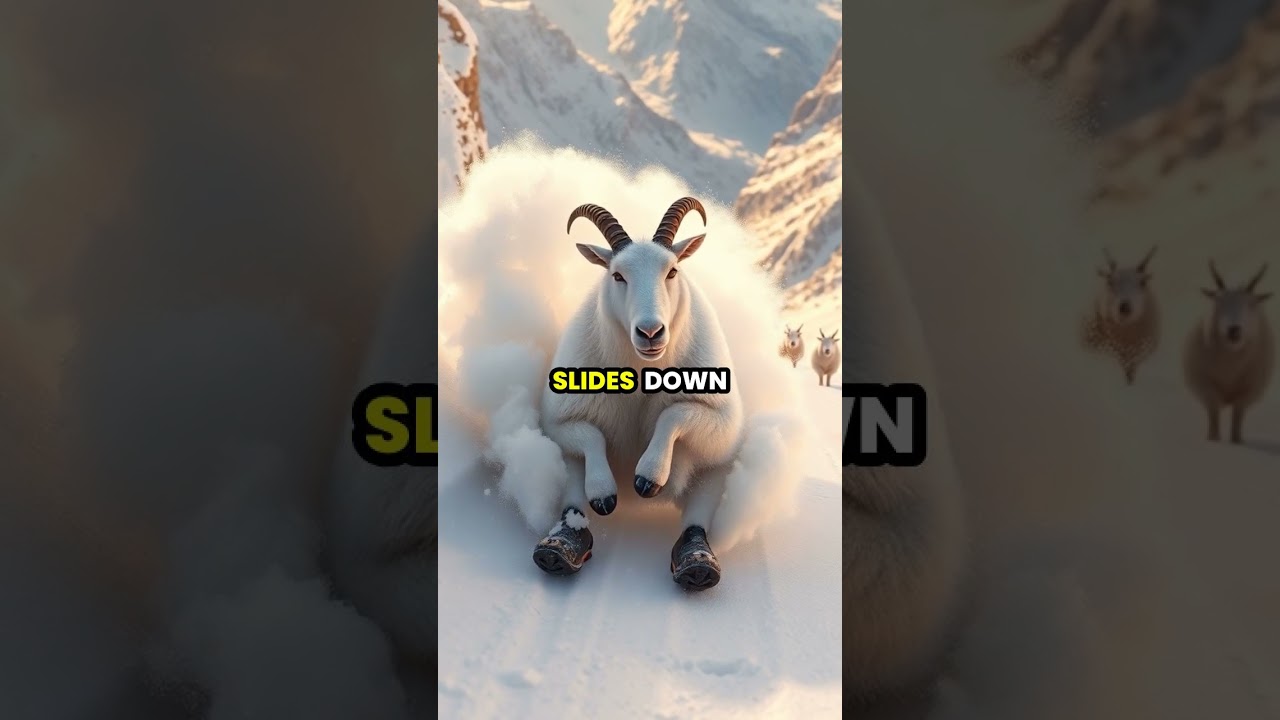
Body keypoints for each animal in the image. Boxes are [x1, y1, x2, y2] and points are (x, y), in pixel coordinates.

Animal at [535, 197, 745, 591]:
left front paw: (650, 476)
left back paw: (697, 564)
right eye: (618, 275)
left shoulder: (721, 420)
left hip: (719, 463)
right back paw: (559, 549)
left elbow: (674, 413)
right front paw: (603, 493)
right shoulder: (558, 419)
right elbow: (590, 436)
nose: (651, 332)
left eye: (672, 271)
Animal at [1183, 260, 1275, 444]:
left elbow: (1237, 417)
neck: (1230, 367)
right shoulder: (1207, 388)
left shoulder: (1247, 392)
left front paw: (1237, 441)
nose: (1233, 330)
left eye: (1251, 304)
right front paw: (1213, 439)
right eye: (1217, 301)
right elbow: (1213, 415)